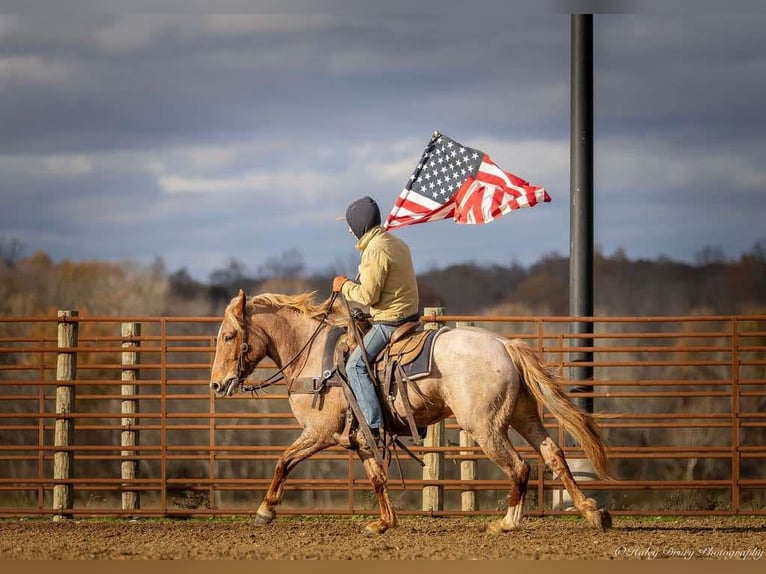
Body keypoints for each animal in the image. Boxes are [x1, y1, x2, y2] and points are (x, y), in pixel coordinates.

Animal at [208, 290, 612, 536]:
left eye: (228, 335)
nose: (216, 384)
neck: (315, 358)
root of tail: (504, 344)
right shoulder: (362, 439)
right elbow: (377, 479)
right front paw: (384, 523)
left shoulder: (318, 432)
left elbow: (283, 461)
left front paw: (265, 510)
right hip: (522, 416)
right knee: (553, 454)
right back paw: (592, 511)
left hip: (485, 426)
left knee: (520, 466)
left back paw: (507, 523)